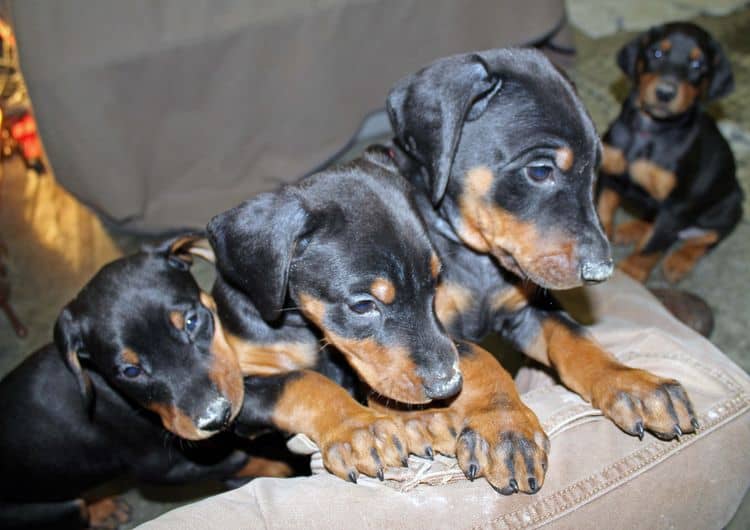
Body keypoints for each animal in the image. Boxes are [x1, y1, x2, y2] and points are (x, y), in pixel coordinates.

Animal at [0, 237, 266, 528]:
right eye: (130, 371)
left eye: (191, 321)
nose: (216, 418)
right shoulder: (165, 467)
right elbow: (246, 460)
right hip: (50, 509)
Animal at [209, 147, 548, 490]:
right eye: (362, 306)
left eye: (435, 282)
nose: (449, 386)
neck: (301, 324)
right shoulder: (235, 398)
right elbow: (302, 380)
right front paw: (360, 429)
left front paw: (419, 419)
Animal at [384, 49, 704, 482]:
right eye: (539, 170)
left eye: (596, 170)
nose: (601, 271)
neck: (475, 260)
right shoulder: (428, 335)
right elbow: (480, 358)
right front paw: (506, 426)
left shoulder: (529, 310)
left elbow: (576, 336)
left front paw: (633, 383)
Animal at [596, 21, 744, 280]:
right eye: (657, 53)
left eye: (698, 65)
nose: (665, 93)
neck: (650, 130)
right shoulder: (610, 175)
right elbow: (604, 209)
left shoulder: (676, 206)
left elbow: (652, 246)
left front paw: (633, 271)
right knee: (654, 223)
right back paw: (632, 229)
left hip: (730, 205)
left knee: (704, 239)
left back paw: (679, 261)